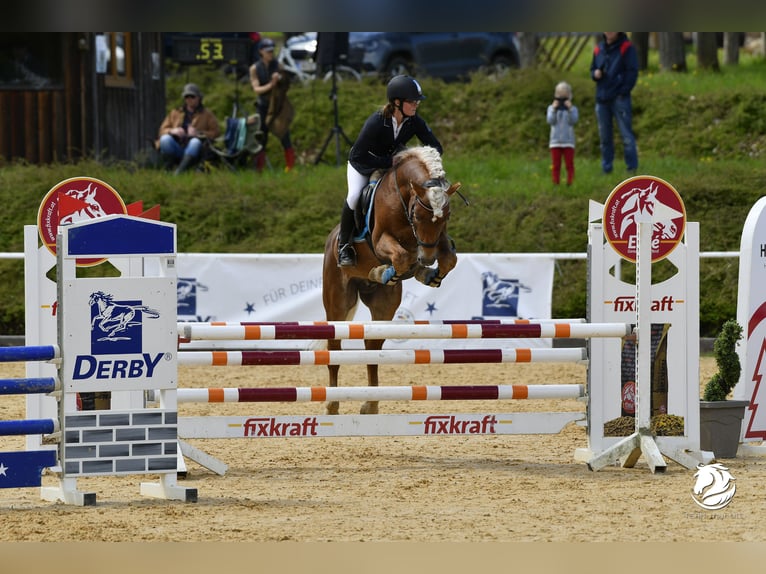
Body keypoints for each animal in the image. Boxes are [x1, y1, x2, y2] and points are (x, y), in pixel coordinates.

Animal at [322, 147, 462, 418]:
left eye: (447, 216)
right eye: (417, 215)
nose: (427, 259)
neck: (402, 196)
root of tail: (331, 239)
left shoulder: (436, 241)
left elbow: (449, 259)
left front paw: (427, 274)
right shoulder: (380, 241)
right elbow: (402, 256)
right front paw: (384, 272)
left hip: (383, 304)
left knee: (372, 345)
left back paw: (371, 404)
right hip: (337, 302)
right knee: (334, 346)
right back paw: (333, 403)